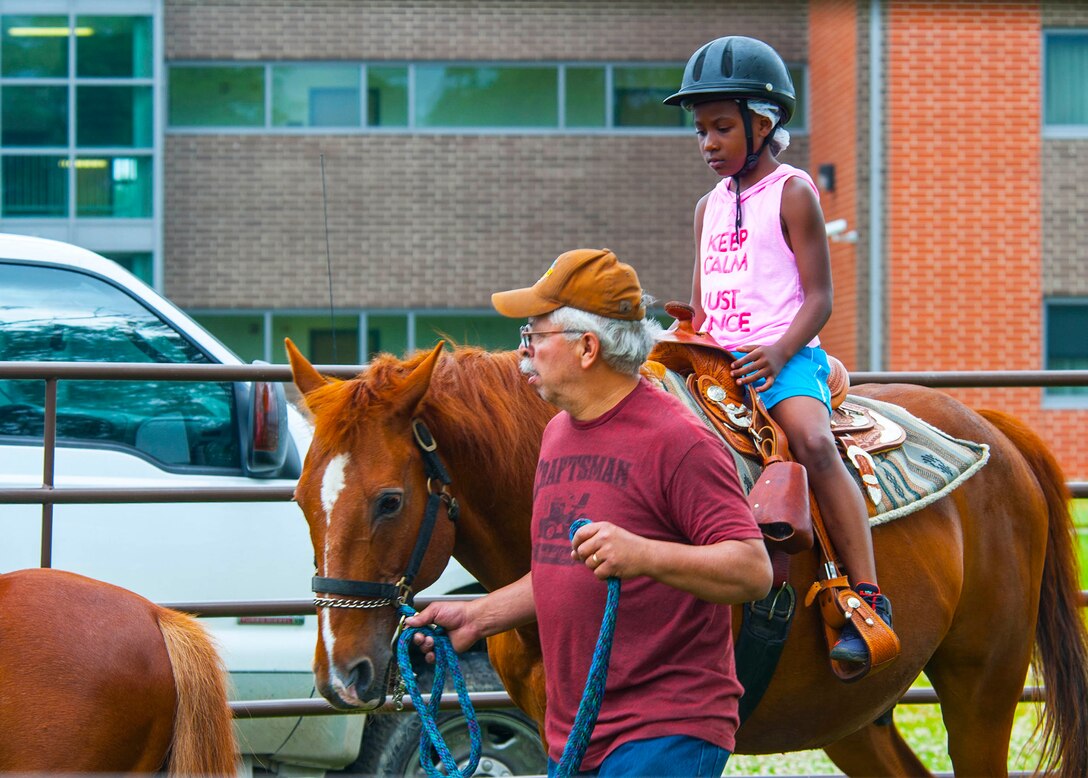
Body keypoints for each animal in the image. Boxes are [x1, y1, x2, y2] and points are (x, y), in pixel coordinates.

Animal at [287, 337, 1088, 777]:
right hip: (854, 718)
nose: (342, 674)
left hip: (982, 687)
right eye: (299, 496)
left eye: (390, 500)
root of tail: (994, 429)